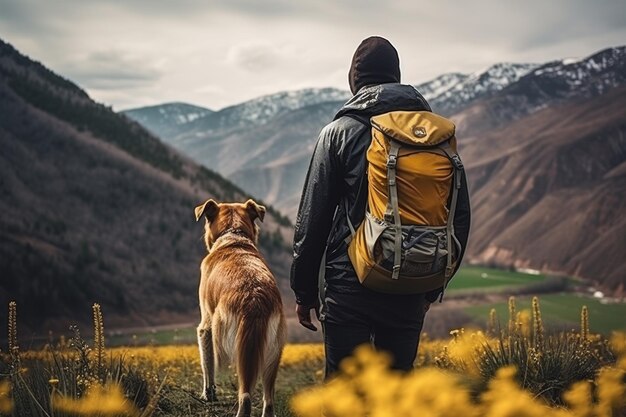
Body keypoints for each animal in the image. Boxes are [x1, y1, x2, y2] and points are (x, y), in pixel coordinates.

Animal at [194, 198, 286, 416]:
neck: (233, 236)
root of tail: (255, 300)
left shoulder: (206, 327)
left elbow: (207, 365)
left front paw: (208, 395)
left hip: (240, 348)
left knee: (245, 397)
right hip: (273, 351)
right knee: (269, 399)